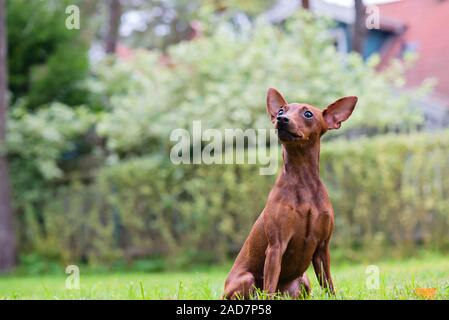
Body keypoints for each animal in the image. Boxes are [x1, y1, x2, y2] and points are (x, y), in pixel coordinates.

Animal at [221, 86, 356, 298]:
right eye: (281, 110)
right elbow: (269, 286)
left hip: (304, 280)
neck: (303, 181)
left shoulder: (322, 248)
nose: (281, 119)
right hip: (246, 280)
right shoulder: (276, 246)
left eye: (308, 113)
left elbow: (329, 285)